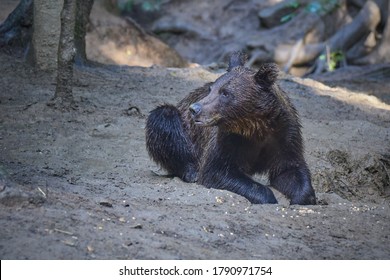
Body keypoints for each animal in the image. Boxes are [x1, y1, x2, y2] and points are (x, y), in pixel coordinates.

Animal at [146, 51, 316, 205]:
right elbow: (217, 171)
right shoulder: (227, 139)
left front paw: (302, 198)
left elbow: (290, 169)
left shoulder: (284, 134)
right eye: (211, 89)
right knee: (163, 118)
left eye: (225, 93)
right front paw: (267, 197)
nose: (194, 109)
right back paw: (191, 172)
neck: (255, 126)